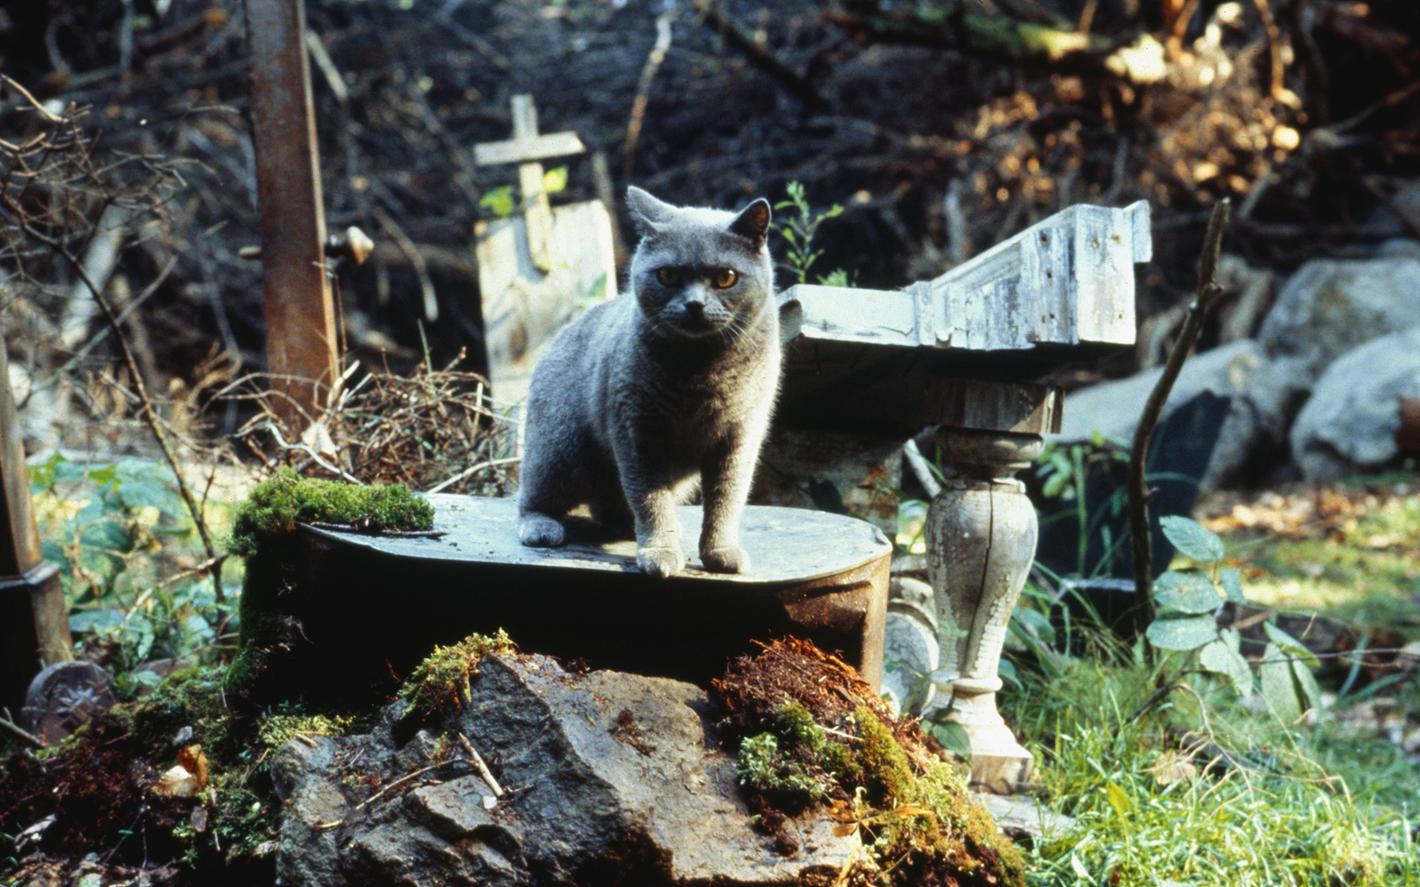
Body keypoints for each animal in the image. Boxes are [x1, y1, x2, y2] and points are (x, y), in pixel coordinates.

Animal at [514, 183, 783, 579]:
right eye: (668, 275)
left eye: (726, 278)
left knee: (609, 508)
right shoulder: (638, 431)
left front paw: (721, 552)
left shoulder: (740, 437)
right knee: (533, 495)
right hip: (559, 448)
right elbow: (650, 498)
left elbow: (726, 499)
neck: (701, 371)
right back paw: (542, 527)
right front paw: (660, 551)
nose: (694, 305)